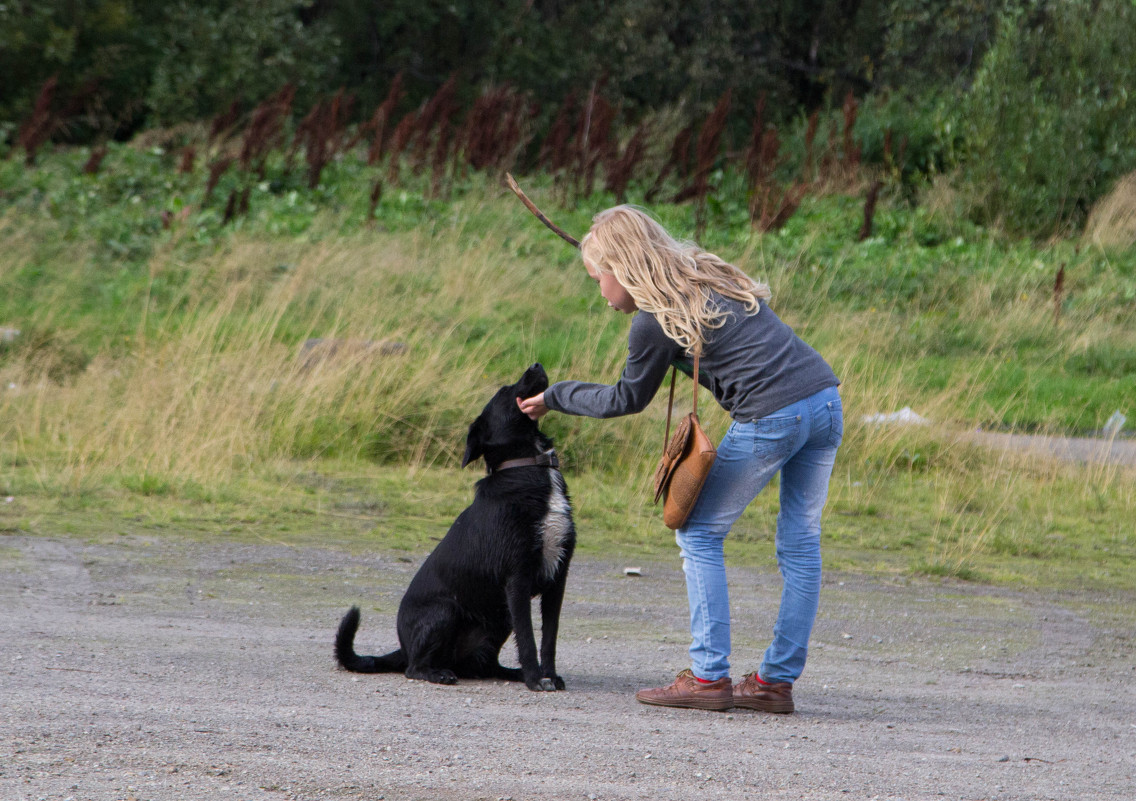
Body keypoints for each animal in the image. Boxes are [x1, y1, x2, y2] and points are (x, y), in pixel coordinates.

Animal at [331, 363, 572, 686]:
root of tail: (403, 648)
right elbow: (528, 639)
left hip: (498, 619)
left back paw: (510, 673)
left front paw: (548, 676)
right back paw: (439, 673)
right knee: (414, 669)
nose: (536, 364)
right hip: (446, 611)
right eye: (504, 390)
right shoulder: (517, 579)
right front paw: (536, 680)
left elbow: (548, 639)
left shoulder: (557, 580)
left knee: (483, 666)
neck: (529, 466)